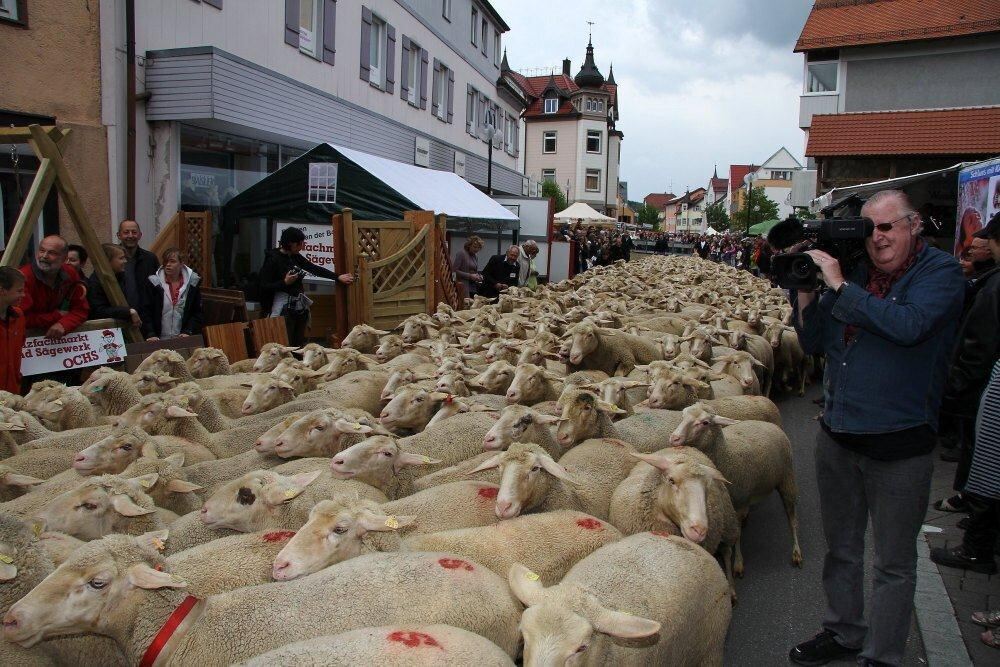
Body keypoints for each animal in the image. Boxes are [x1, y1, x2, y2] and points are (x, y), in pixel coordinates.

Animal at [668, 404, 800, 576]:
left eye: (705, 422)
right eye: (683, 415)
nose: (674, 438)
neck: (726, 454)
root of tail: (772, 425)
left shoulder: (738, 503)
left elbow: (736, 533)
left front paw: (737, 562)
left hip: (787, 476)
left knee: (792, 517)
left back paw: (796, 551)